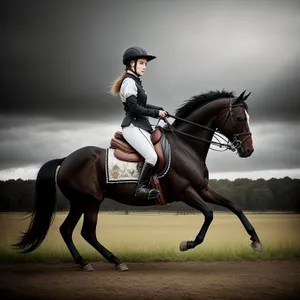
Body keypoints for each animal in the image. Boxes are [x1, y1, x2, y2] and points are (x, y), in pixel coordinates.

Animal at [14, 89, 262, 272]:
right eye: (240, 118)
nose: (249, 150)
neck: (186, 145)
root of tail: (66, 159)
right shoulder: (186, 191)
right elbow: (209, 215)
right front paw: (187, 244)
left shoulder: (203, 189)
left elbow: (235, 207)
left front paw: (255, 240)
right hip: (90, 201)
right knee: (87, 233)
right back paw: (113, 261)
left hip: (80, 202)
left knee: (67, 230)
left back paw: (87, 262)